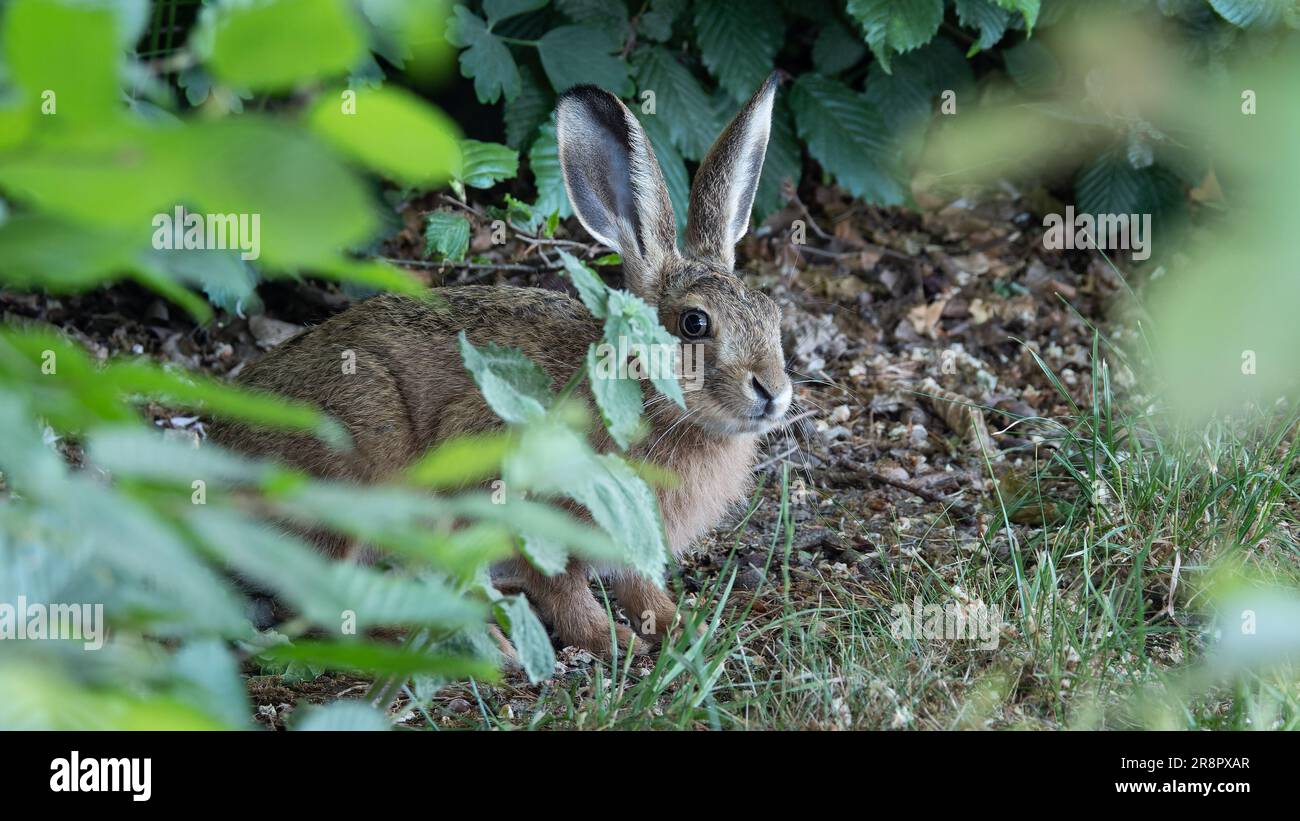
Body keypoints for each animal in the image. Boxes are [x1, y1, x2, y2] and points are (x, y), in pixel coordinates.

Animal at [208, 73, 792, 658]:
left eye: (772, 313)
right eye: (694, 323)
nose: (773, 391)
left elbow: (638, 586)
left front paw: (683, 626)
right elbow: (563, 589)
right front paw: (611, 640)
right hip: (354, 473)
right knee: (319, 600)